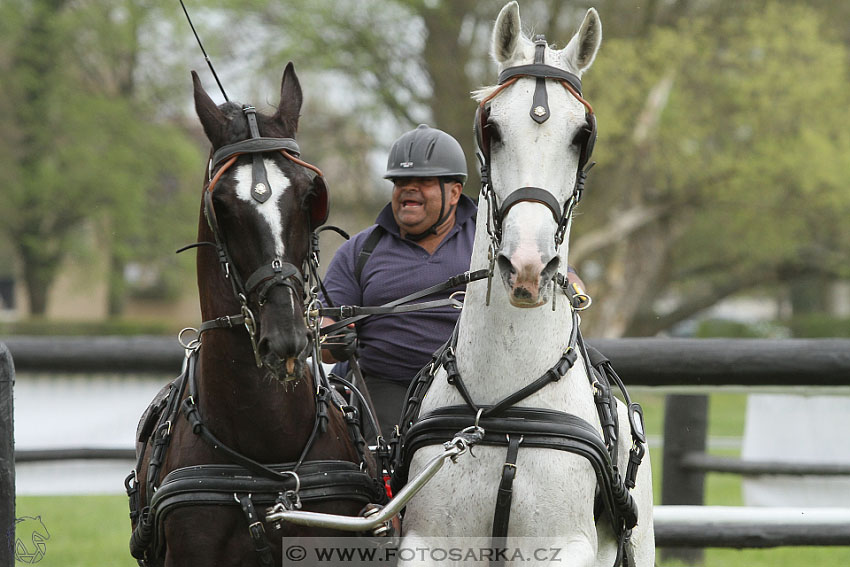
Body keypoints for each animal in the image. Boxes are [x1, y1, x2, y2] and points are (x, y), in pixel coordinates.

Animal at [400, 2, 656, 564]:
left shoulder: (564, 546)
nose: (527, 267)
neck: (500, 413)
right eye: (491, 127)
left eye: (582, 135)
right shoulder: (427, 544)